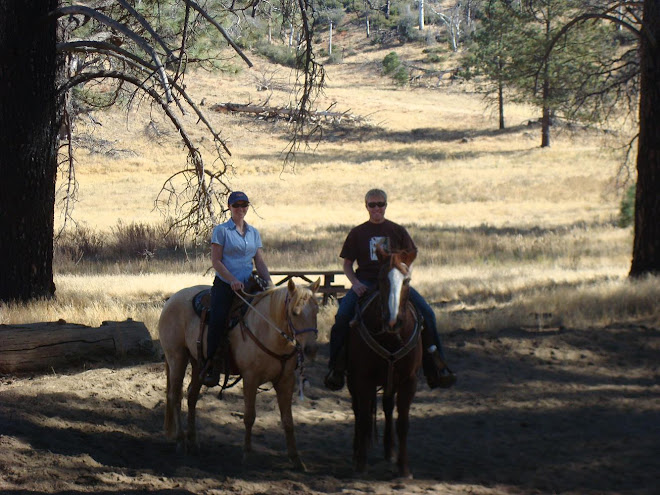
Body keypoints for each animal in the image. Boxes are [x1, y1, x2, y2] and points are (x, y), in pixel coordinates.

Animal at [157, 280, 320, 470]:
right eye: (295, 312)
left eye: (316, 311)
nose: (311, 349)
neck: (267, 329)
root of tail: (171, 299)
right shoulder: (250, 378)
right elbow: (249, 417)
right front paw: (247, 455)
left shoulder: (286, 381)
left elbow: (288, 420)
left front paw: (296, 459)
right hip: (177, 357)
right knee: (175, 396)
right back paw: (181, 441)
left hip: (197, 362)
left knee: (192, 397)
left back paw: (194, 442)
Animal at [346, 250, 422, 478]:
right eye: (380, 279)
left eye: (407, 280)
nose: (392, 321)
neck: (390, 337)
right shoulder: (363, 379)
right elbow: (363, 419)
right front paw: (361, 464)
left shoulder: (409, 381)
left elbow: (403, 422)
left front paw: (404, 468)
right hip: (352, 380)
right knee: (357, 411)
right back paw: (356, 452)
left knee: (388, 408)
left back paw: (390, 451)